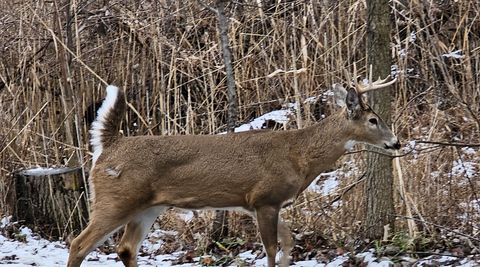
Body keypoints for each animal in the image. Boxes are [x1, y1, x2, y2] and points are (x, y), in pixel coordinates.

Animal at [65, 70, 400, 267]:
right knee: (79, 243)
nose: (396, 142)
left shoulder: (263, 203)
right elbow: (271, 248)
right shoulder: (265, 198)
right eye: (373, 120)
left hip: (149, 206)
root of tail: (109, 146)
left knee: (125, 248)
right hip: (116, 198)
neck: (298, 154)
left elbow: (289, 241)